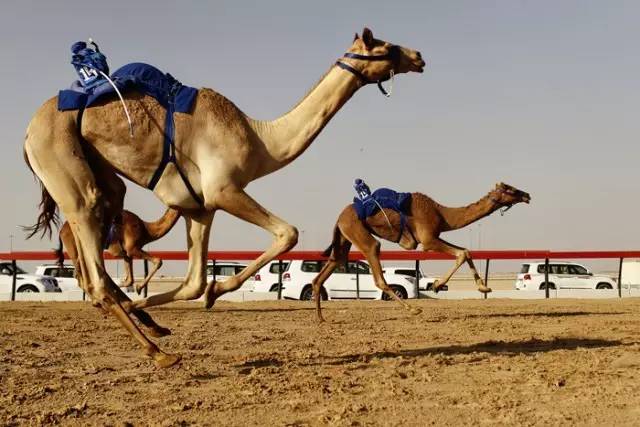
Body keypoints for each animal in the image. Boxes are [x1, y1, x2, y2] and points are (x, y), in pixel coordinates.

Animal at [25, 27, 428, 368]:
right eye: (384, 45)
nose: (419, 56)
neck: (260, 138)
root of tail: (28, 132)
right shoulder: (225, 190)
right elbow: (288, 233)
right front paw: (216, 291)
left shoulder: (199, 209)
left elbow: (193, 282)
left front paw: (174, 299)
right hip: (61, 160)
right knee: (92, 258)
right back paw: (158, 353)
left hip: (100, 175)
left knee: (107, 225)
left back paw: (150, 324)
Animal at [312, 182, 528, 322]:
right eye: (510, 189)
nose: (527, 195)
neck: (442, 214)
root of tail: (339, 217)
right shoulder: (428, 240)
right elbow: (461, 253)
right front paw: (437, 285)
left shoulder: (434, 235)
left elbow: (466, 251)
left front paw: (484, 288)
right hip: (359, 232)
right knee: (377, 265)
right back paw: (413, 309)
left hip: (344, 238)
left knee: (328, 268)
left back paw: (321, 318)